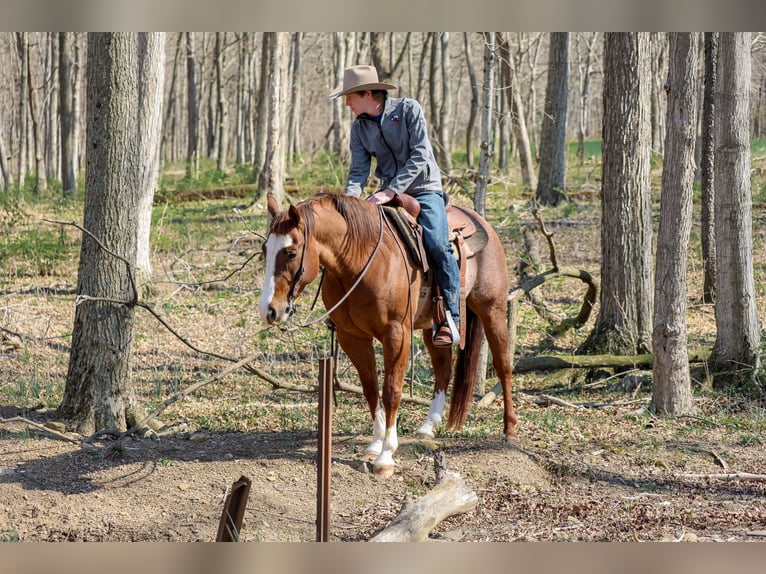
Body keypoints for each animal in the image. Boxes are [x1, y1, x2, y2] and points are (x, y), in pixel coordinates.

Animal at [259, 192, 517, 477]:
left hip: (492, 308)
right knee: (443, 367)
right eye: (265, 250)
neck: (360, 262)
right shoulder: (353, 338)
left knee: (503, 364)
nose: (269, 310)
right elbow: (371, 389)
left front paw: (385, 456)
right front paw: (374, 444)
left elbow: (391, 390)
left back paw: (509, 430)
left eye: (291, 252)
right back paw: (428, 427)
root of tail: (481, 222)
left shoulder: (396, 334)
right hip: (433, 327)